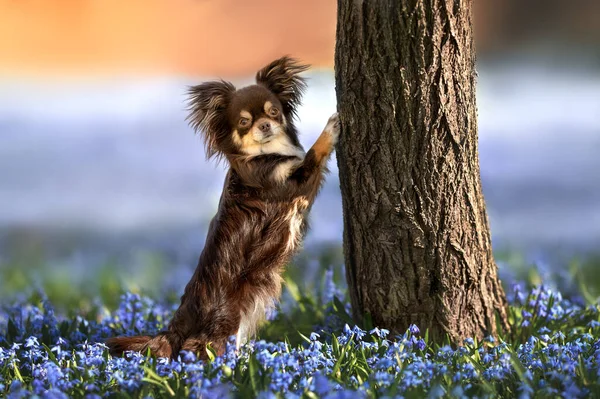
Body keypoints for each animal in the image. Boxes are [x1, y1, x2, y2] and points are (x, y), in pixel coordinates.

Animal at [106, 55, 340, 360]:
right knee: (201, 348)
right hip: (224, 320)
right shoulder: (292, 182)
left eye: (274, 112)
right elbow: (314, 153)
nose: (264, 125)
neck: (265, 154)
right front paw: (331, 126)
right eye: (244, 122)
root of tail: (177, 323)